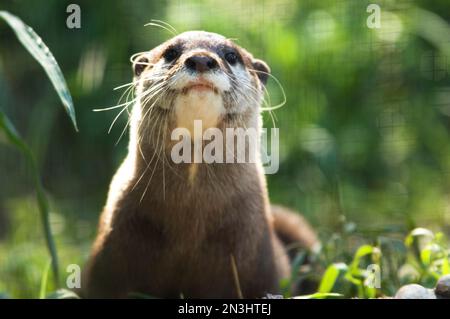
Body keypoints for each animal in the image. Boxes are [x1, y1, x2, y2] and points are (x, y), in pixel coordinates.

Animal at [82, 31, 318, 298]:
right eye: (171, 52)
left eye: (231, 55)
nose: (202, 60)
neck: (189, 225)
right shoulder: (110, 260)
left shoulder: (263, 265)